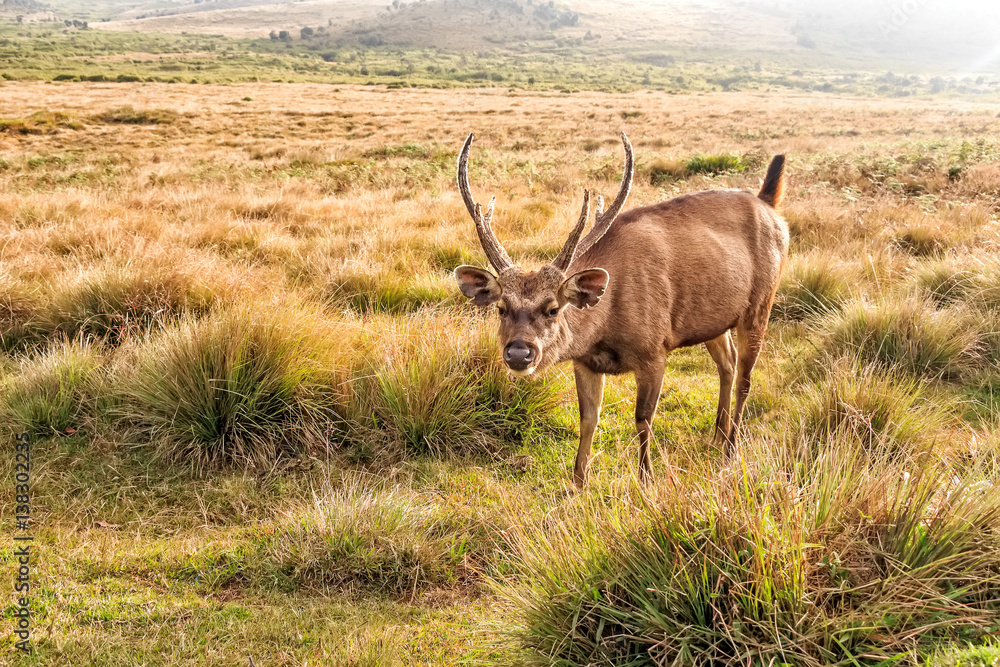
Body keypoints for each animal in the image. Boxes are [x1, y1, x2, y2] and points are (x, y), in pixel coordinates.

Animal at [453, 132, 789, 488]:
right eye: (501, 308)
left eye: (553, 308)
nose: (519, 353)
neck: (605, 328)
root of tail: (769, 204)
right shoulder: (585, 361)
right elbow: (588, 418)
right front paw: (578, 482)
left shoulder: (655, 350)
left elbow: (643, 419)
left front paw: (646, 478)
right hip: (713, 319)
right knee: (727, 363)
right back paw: (716, 436)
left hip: (761, 303)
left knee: (745, 378)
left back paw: (730, 448)